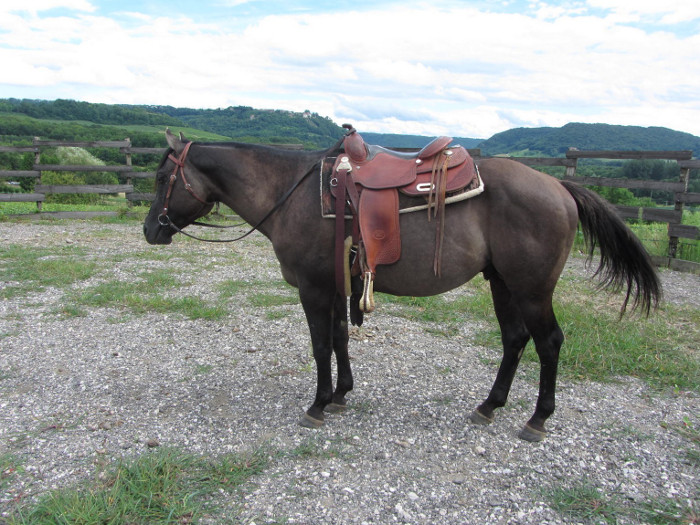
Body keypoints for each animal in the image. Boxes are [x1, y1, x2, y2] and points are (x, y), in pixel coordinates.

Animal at [143, 129, 661, 442]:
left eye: (164, 176)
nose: (151, 230)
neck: (293, 192)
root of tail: (559, 187)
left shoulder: (313, 288)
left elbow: (320, 345)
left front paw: (317, 403)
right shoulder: (337, 285)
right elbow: (339, 339)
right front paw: (341, 395)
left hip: (532, 289)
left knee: (549, 342)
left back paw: (536, 419)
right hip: (503, 284)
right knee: (515, 340)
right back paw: (489, 405)